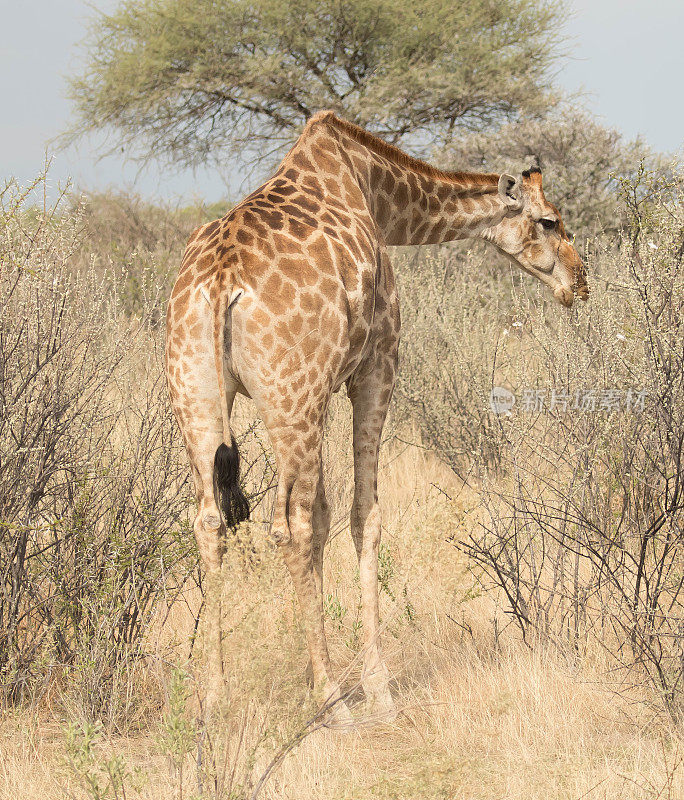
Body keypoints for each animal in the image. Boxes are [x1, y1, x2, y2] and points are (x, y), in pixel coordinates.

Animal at [166, 108, 588, 724]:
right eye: (550, 221)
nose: (580, 282)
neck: (376, 192)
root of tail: (219, 285)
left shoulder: (329, 386)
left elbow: (326, 518)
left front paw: (312, 668)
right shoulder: (377, 362)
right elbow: (364, 514)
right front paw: (377, 688)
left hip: (197, 396)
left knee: (209, 521)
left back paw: (215, 698)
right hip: (290, 397)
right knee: (287, 524)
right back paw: (333, 702)